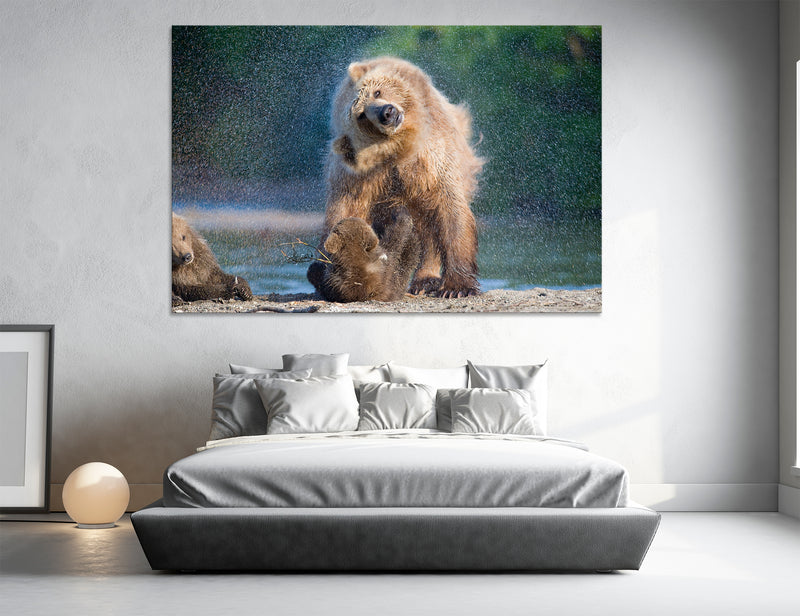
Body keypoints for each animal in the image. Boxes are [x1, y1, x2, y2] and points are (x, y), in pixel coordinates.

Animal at [321, 56, 484, 298]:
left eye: (377, 92)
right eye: (361, 115)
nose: (387, 113)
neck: (400, 150)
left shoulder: (432, 161)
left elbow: (451, 212)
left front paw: (457, 287)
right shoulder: (356, 179)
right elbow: (345, 212)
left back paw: (425, 280)